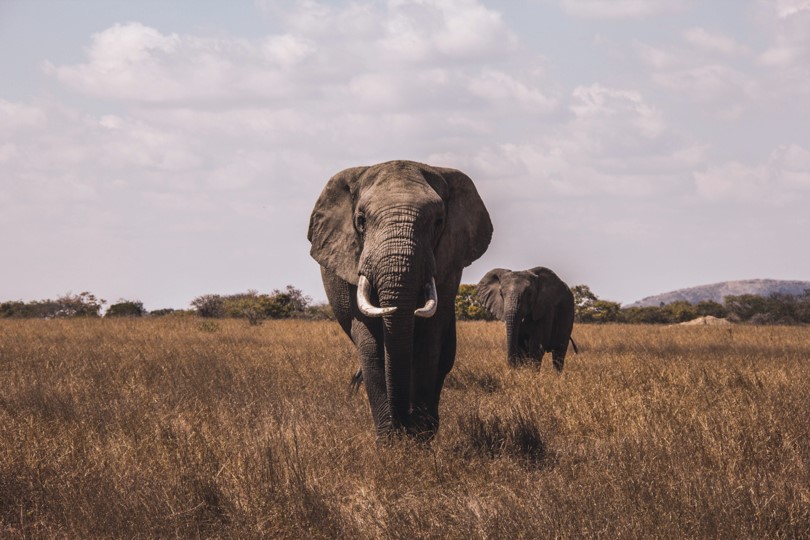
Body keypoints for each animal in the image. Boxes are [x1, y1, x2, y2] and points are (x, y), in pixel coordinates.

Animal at [306, 159, 490, 438]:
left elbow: (429, 341)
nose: (404, 426)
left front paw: (420, 438)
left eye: (438, 222)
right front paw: (391, 441)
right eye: (361, 221)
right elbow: (371, 345)